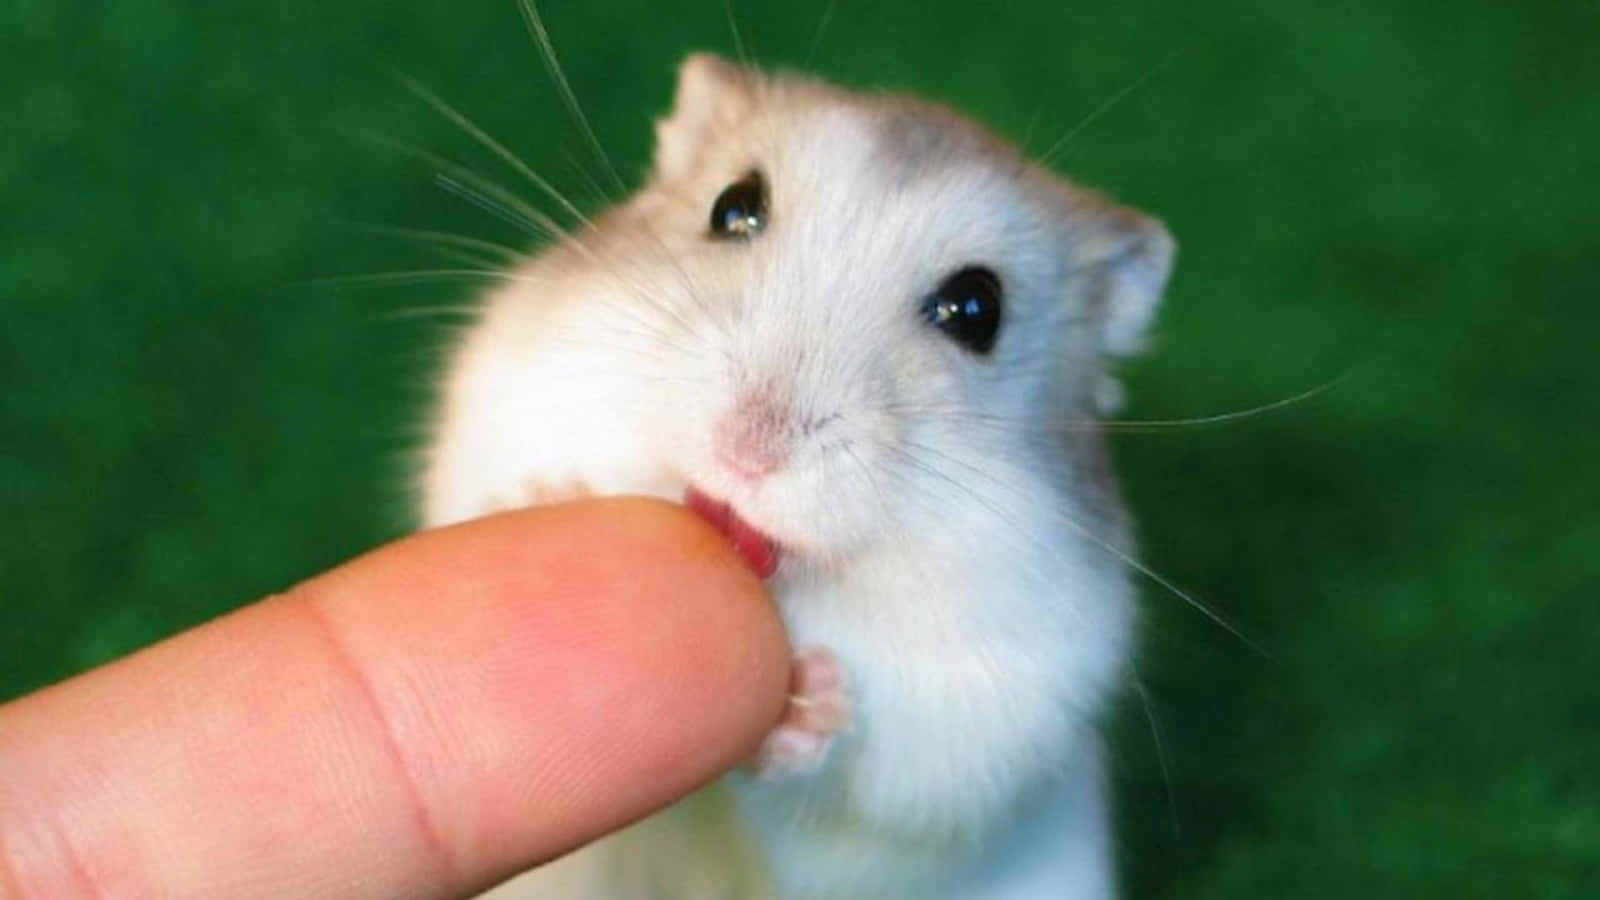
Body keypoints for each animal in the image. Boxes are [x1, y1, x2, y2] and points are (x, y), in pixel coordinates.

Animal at [421, 53, 1174, 900]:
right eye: (734, 206)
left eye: (978, 309)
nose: (746, 451)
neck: (791, 580)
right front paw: (553, 497)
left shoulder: (984, 725)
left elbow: (855, 793)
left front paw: (811, 698)